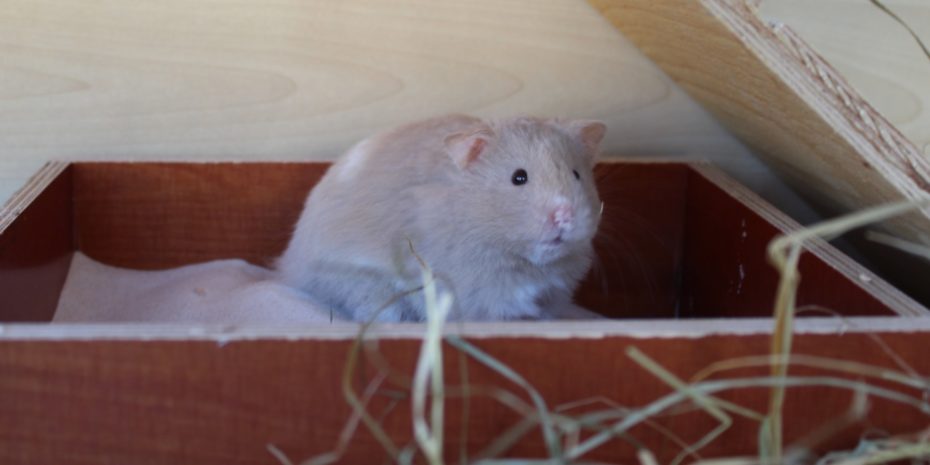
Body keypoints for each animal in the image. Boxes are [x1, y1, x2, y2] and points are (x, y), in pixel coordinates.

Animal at [277, 114, 606, 322]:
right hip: (354, 280)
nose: (564, 216)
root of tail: (289, 264)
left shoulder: (554, 290)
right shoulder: (482, 290)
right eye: (519, 177)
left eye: (576, 174)